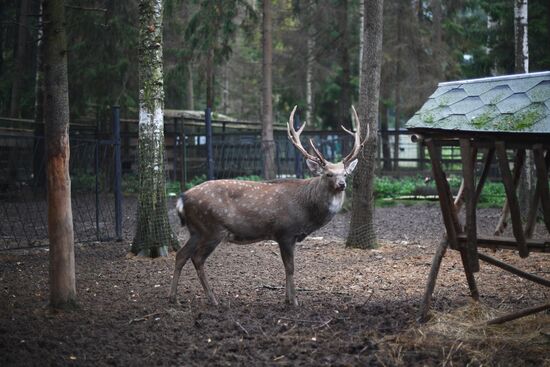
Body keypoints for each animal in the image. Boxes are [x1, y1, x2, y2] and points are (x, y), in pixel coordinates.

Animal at [168, 105, 366, 306]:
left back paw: (174, 297)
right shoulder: (285, 232)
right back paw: (213, 299)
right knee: (197, 258)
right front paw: (294, 301)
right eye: (328, 174)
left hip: (196, 230)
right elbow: (290, 267)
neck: (307, 212)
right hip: (213, 228)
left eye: (345, 174)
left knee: (181, 255)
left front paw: (287, 299)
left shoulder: (290, 236)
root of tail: (182, 198)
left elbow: (287, 267)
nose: (342, 184)